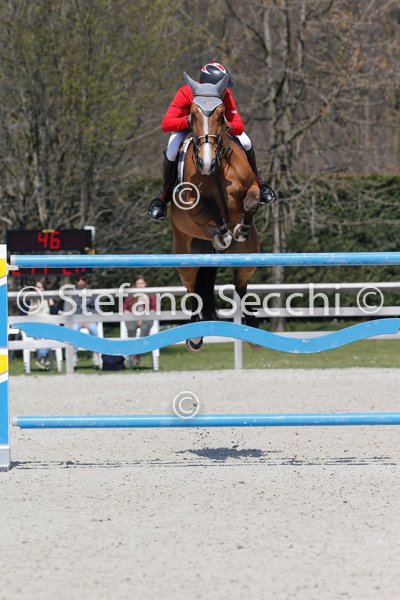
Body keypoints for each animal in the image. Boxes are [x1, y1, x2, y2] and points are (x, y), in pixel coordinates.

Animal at [170, 72, 260, 351]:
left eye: (222, 116)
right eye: (191, 114)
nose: (206, 163)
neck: (218, 168)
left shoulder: (252, 188)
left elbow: (251, 202)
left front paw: (239, 229)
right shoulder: (193, 206)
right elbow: (210, 214)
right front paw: (223, 234)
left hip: (249, 255)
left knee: (241, 285)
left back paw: (253, 327)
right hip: (185, 255)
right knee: (192, 290)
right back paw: (194, 335)